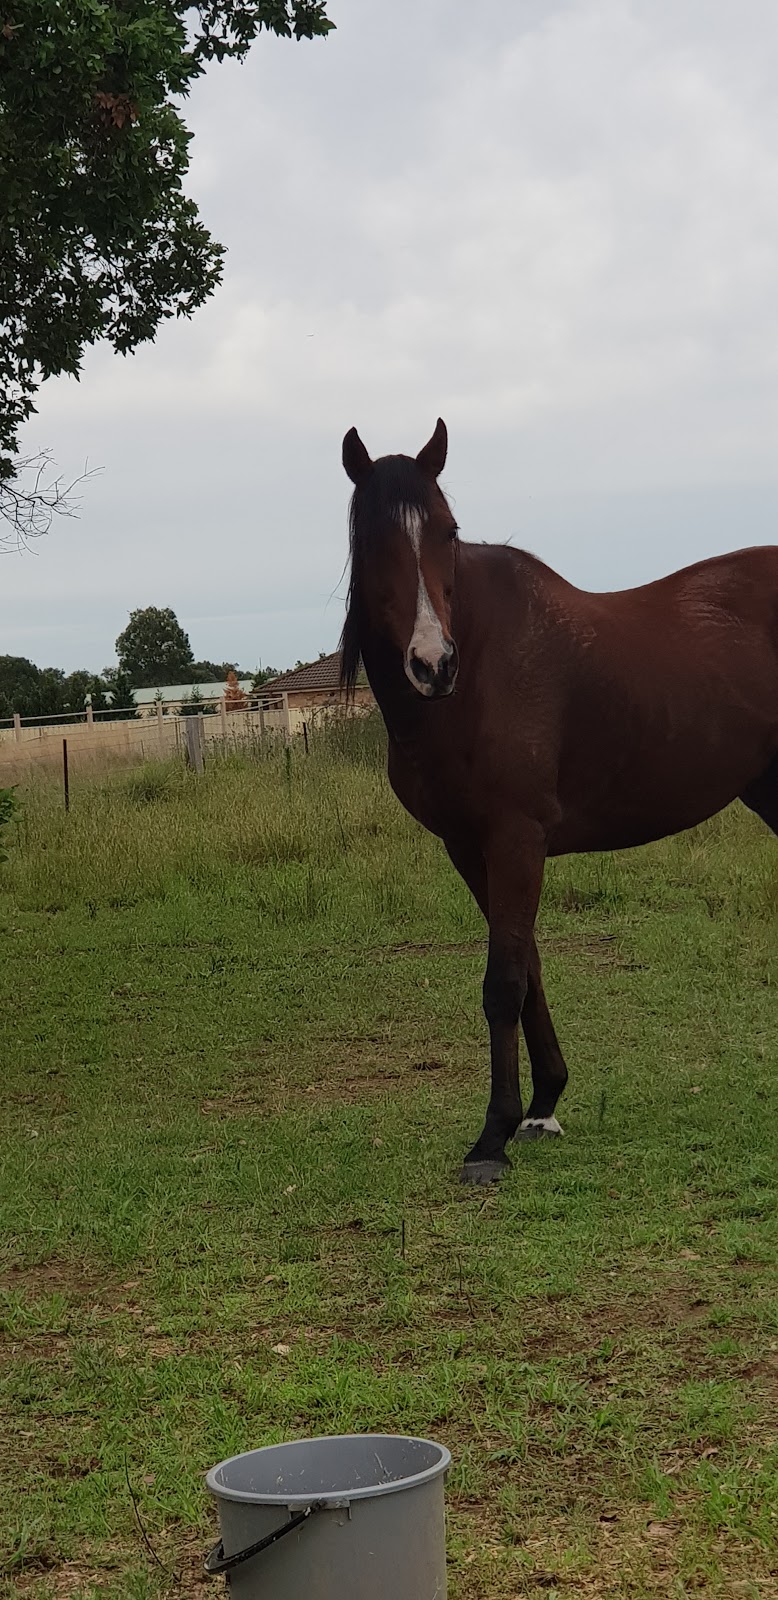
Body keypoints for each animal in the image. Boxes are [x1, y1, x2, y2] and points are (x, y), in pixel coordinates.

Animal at [340, 419, 778, 1184]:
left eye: (448, 531)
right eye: (372, 539)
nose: (433, 664)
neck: (480, 672)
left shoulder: (516, 837)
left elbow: (503, 982)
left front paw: (492, 1137)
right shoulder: (471, 846)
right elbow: (528, 967)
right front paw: (543, 1105)